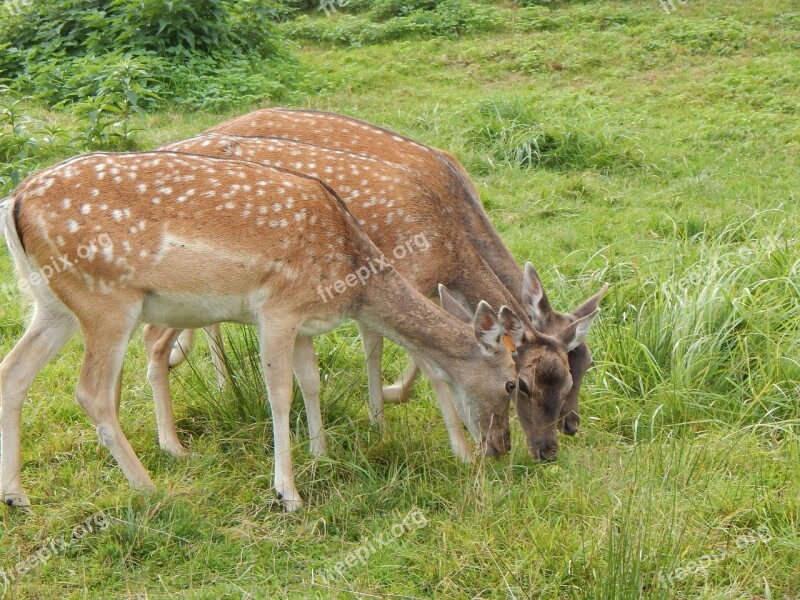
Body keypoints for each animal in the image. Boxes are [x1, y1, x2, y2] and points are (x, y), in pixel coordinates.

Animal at [1, 150, 532, 510]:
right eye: (513, 382)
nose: (501, 449)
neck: (351, 277)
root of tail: (14, 201)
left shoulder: (304, 322)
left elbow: (311, 381)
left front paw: (320, 456)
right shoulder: (277, 307)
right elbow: (279, 392)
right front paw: (288, 493)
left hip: (52, 304)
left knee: (13, 372)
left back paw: (17, 495)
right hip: (106, 299)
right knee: (91, 392)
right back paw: (150, 487)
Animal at [141, 134, 600, 462]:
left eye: (577, 372)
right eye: (520, 384)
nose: (553, 445)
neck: (446, 249)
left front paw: (379, 417)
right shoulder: (402, 279)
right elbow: (417, 363)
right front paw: (414, 426)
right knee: (153, 337)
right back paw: (175, 436)